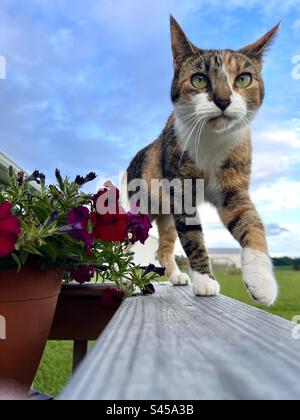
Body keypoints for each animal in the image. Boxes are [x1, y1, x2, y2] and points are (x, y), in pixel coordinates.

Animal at [126, 16, 278, 306]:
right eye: (198, 80)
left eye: (243, 79)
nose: (223, 99)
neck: (210, 140)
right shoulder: (181, 192)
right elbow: (193, 237)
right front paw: (205, 280)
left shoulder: (234, 189)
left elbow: (251, 223)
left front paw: (261, 281)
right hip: (143, 206)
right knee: (129, 241)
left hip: (166, 216)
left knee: (163, 248)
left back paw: (176, 276)